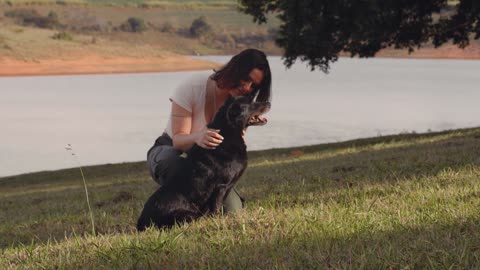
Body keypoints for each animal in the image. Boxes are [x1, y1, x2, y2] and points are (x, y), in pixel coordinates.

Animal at [137, 95, 270, 230]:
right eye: (251, 101)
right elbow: (216, 206)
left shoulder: (227, 186)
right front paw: (218, 221)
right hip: (187, 215)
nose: (269, 103)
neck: (227, 133)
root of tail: (141, 223)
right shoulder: (221, 186)